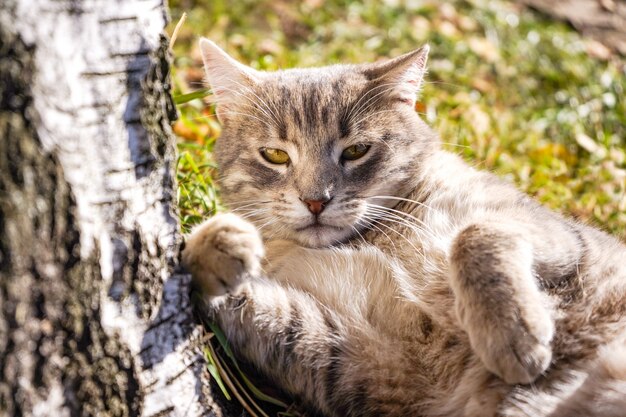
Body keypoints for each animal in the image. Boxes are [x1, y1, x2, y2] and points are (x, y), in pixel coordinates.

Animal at [182, 37, 624, 414]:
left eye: (357, 151)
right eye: (274, 155)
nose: (315, 201)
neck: (374, 237)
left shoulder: (553, 232)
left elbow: (475, 234)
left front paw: (512, 333)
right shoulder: (367, 360)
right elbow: (258, 308)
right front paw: (211, 243)